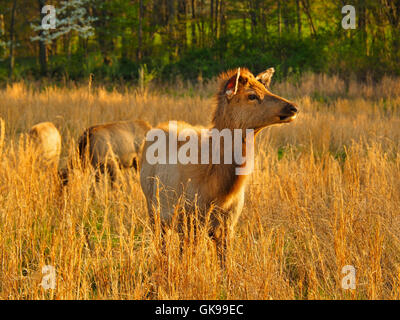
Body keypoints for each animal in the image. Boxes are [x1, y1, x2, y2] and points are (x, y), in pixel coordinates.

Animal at [139, 67, 298, 258]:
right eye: (252, 95)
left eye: (266, 89)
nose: (293, 107)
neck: (219, 189)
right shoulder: (189, 219)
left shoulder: (228, 224)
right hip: (152, 207)